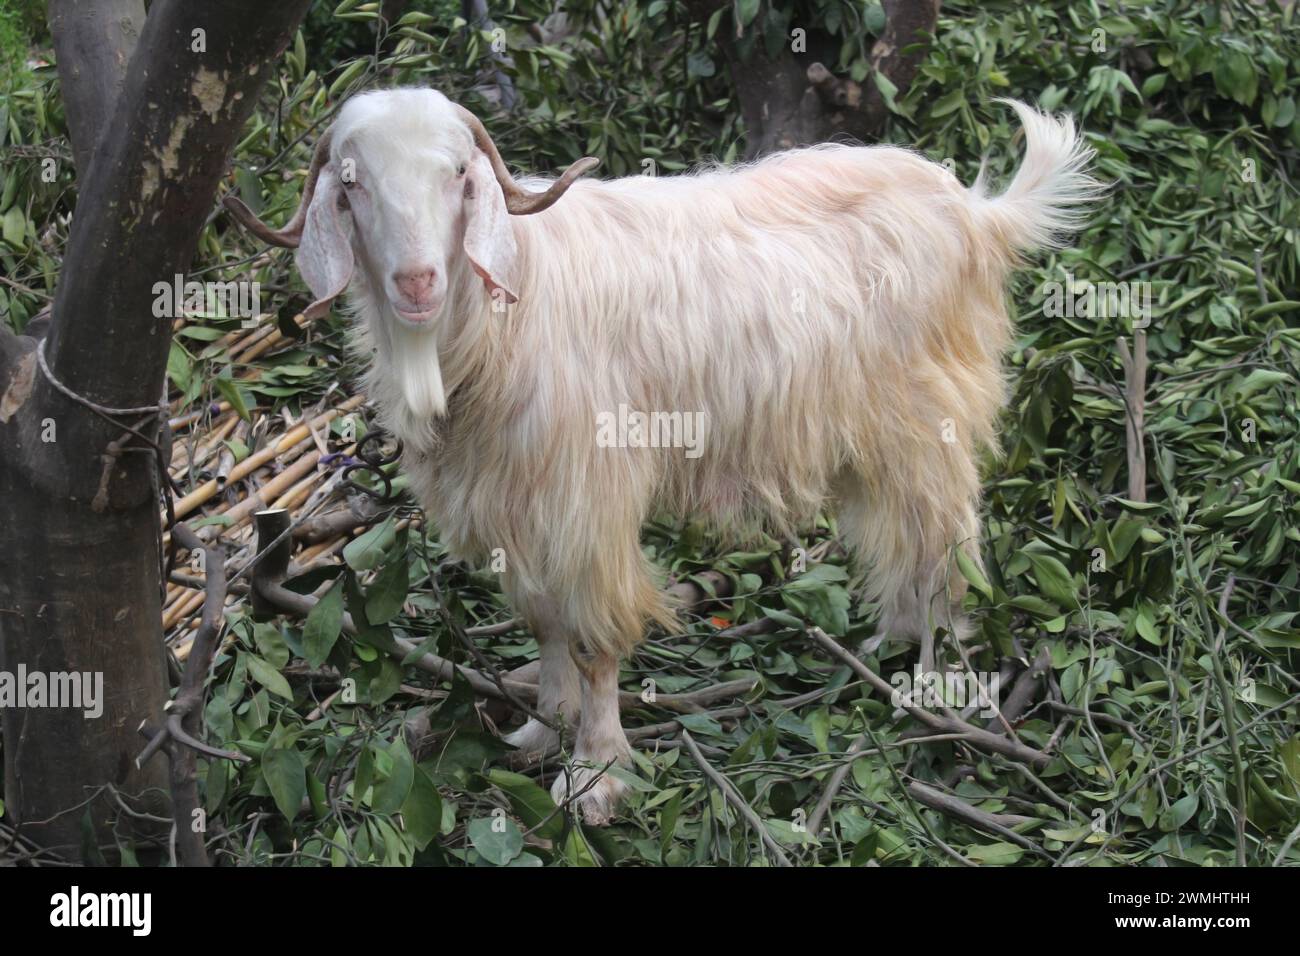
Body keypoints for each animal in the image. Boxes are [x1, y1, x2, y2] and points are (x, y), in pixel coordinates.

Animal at [226, 88, 1096, 824]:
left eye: (459, 176)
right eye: (351, 185)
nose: (416, 282)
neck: (504, 307)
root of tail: (976, 211)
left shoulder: (588, 495)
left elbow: (590, 636)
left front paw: (596, 773)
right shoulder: (514, 496)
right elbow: (541, 617)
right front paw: (543, 729)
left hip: (933, 413)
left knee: (949, 531)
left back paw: (941, 670)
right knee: (905, 527)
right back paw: (895, 636)